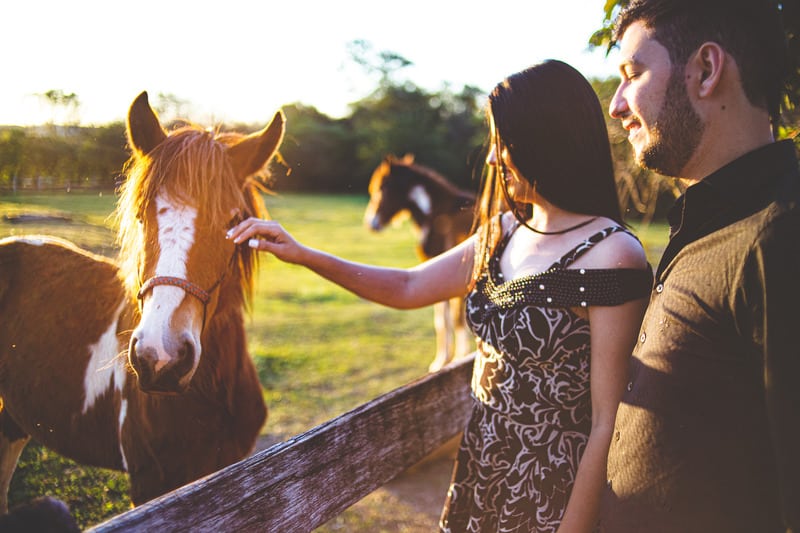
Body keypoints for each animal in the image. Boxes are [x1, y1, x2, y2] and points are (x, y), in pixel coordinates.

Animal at [362, 153, 476, 370]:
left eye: (381, 188)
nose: (371, 224)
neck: (437, 215)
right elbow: (445, 321)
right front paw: (445, 360)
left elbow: (449, 320)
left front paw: (450, 360)